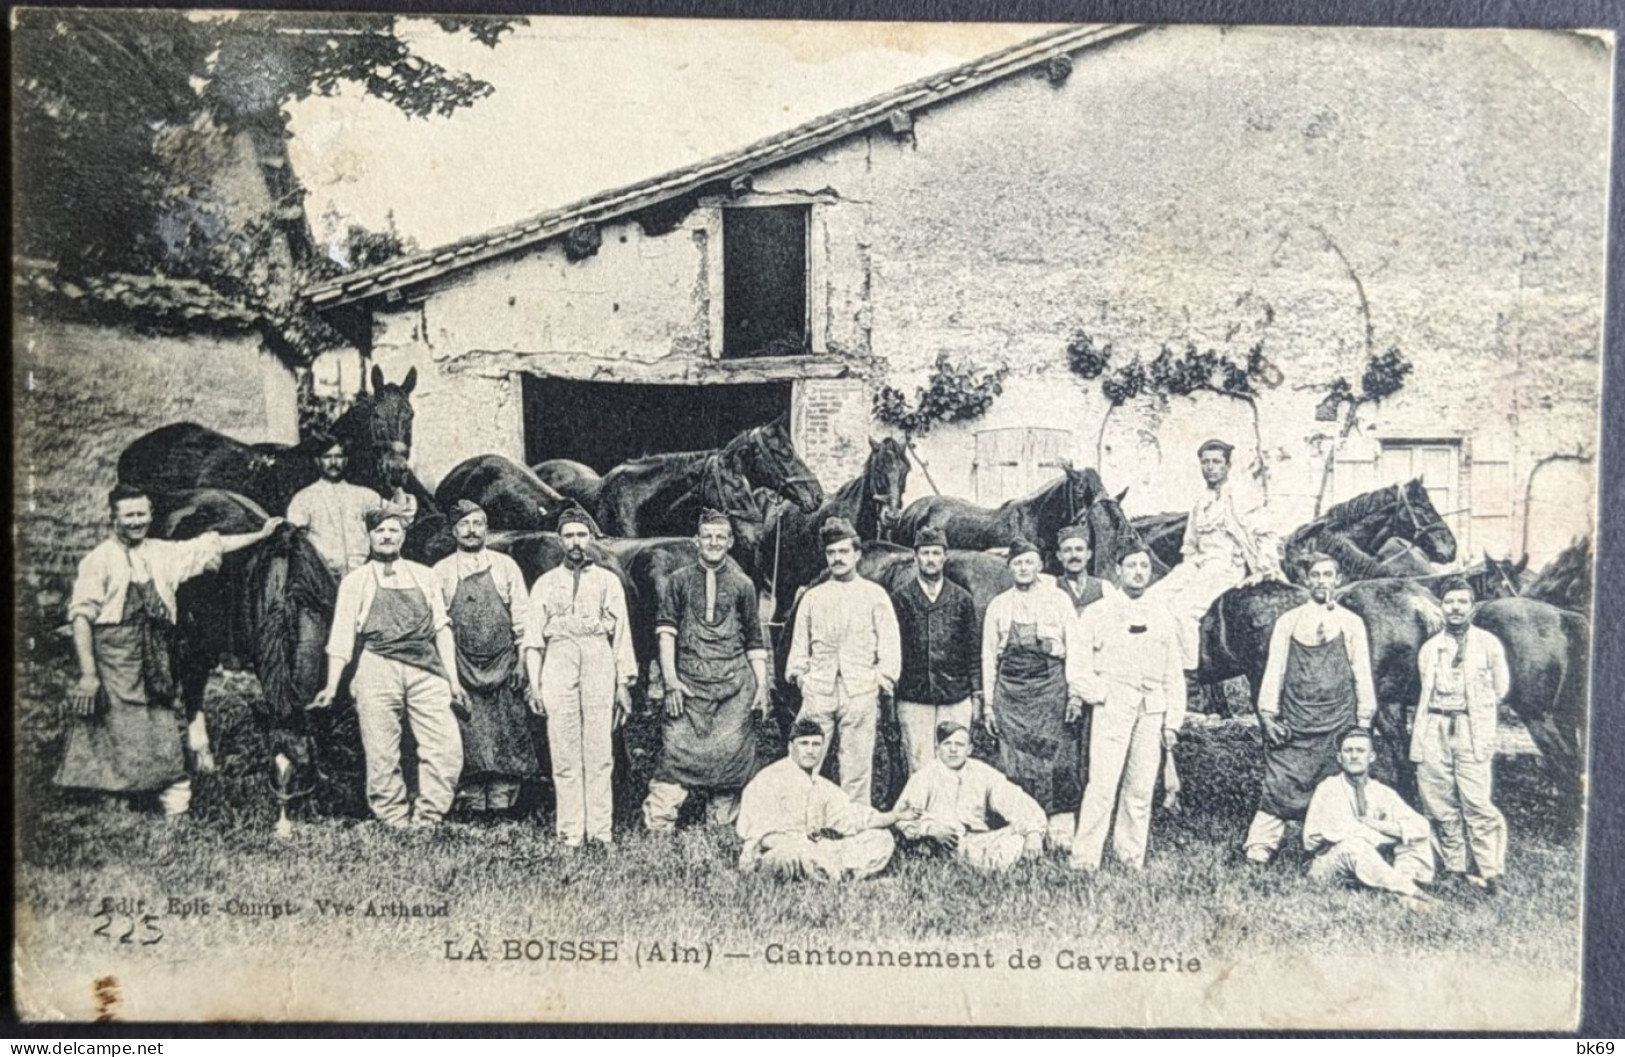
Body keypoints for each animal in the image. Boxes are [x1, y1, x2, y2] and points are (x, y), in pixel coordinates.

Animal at [151, 484, 344, 832]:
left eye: (303, 769)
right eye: (271, 770)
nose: (282, 829)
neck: (292, 588)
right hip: (182, 636)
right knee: (189, 690)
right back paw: (201, 759)